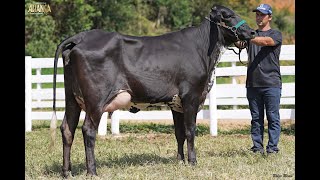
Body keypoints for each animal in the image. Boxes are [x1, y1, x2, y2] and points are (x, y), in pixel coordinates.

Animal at [50, 4, 255, 177]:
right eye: (228, 15)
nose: (252, 31)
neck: (203, 48)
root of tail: (81, 37)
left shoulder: (176, 102)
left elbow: (179, 133)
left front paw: (180, 161)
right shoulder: (191, 96)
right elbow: (190, 130)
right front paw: (192, 162)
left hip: (71, 97)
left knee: (67, 129)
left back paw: (66, 172)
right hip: (96, 99)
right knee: (88, 130)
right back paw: (92, 171)